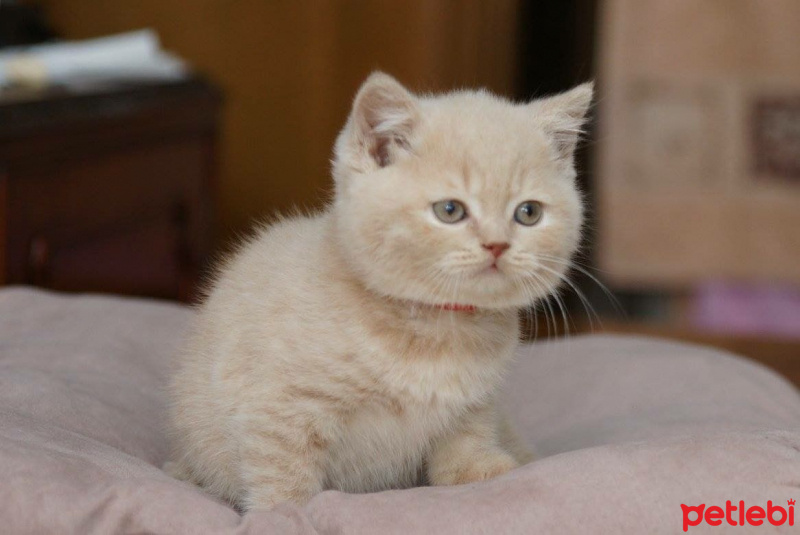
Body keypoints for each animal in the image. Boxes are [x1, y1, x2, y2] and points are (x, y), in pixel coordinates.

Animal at [166, 72, 592, 510]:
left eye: (529, 213)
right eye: (450, 210)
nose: (497, 245)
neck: (435, 329)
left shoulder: (474, 406)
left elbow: (465, 447)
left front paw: (485, 472)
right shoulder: (282, 405)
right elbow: (283, 472)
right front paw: (284, 512)